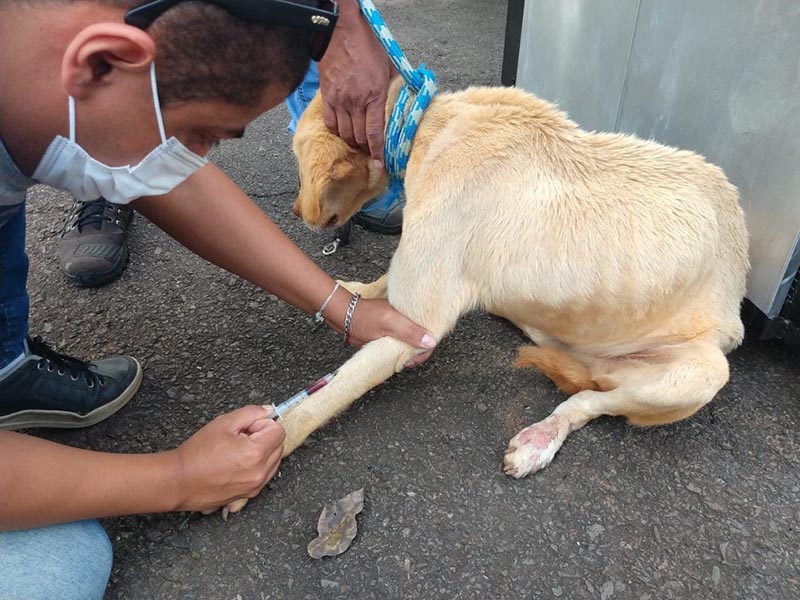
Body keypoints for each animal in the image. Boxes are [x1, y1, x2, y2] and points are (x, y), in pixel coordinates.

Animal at [280, 79, 752, 480]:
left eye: (298, 164)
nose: (295, 211)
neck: (429, 125)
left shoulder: (416, 326)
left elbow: (324, 397)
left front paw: (277, 437)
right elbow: (384, 278)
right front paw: (353, 292)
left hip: (704, 371)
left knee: (590, 400)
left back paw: (541, 438)